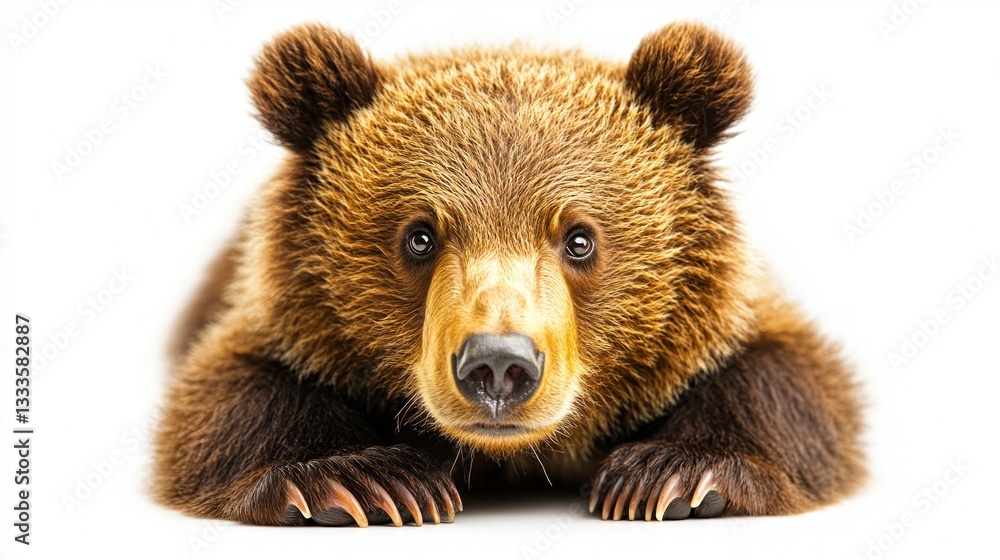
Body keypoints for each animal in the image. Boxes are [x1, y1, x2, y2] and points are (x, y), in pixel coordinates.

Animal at [153, 21, 864, 526]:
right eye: (419, 236)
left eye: (579, 239)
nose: (498, 364)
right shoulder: (280, 316)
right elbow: (227, 396)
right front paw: (364, 479)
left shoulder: (720, 316)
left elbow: (791, 380)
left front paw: (672, 474)